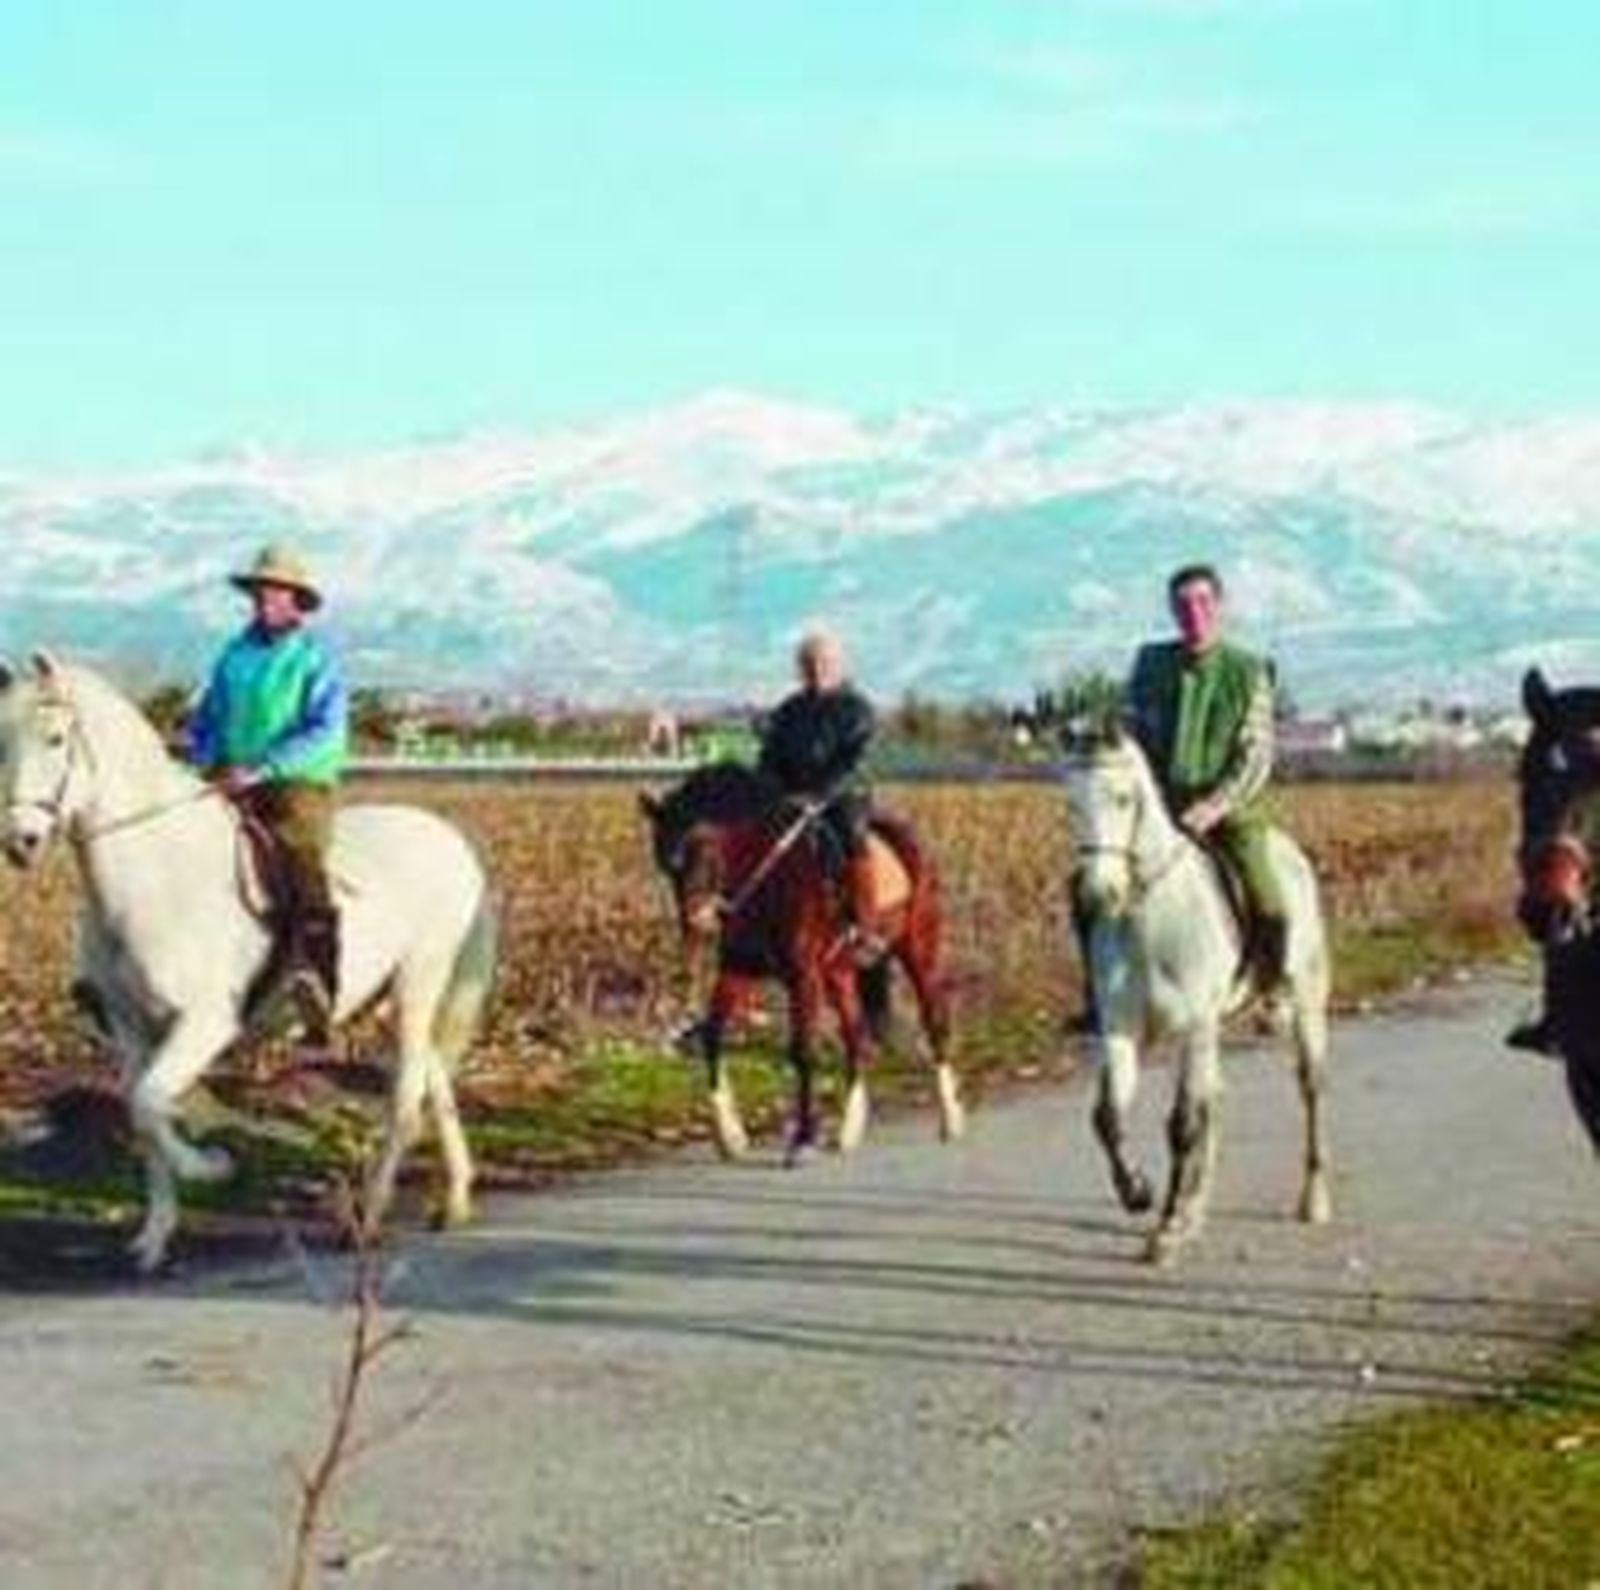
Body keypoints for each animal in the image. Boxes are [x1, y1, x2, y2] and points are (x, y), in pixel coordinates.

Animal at [0, 652, 498, 1273]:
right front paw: (153, 1240)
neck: (156, 878)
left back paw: (369, 1215)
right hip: (397, 997)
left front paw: (211, 1166)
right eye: (1, 740)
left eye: (55, 737)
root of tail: (452, 841)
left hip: (418, 982)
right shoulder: (131, 1028)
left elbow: (151, 1103)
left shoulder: (207, 1022)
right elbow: (141, 1117)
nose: (20, 841)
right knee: (435, 1078)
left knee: (407, 1093)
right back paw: (453, 1201)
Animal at [640, 763, 965, 1164]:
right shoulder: (738, 969)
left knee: (935, 1021)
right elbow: (712, 1036)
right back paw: (849, 1131)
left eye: (707, 848)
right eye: (668, 863)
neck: (767, 873)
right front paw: (730, 1137)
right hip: (839, 972)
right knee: (855, 1034)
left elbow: (802, 1051)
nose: (697, 920)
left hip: (919, 950)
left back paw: (950, 1120)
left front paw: (803, 1139)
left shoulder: (802, 975)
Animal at [1060, 722, 1332, 1264]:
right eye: (1070, 803)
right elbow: (1107, 1116)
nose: (1098, 895)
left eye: (1123, 799)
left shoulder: (1193, 1026)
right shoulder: (1121, 1028)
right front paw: (1138, 1192)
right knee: (1215, 1101)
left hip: (1304, 1006)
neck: (1149, 917)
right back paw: (1194, 1211)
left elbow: (1183, 1125)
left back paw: (1312, 1200)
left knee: (1309, 1088)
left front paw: (1164, 1232)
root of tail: (1294, 856)